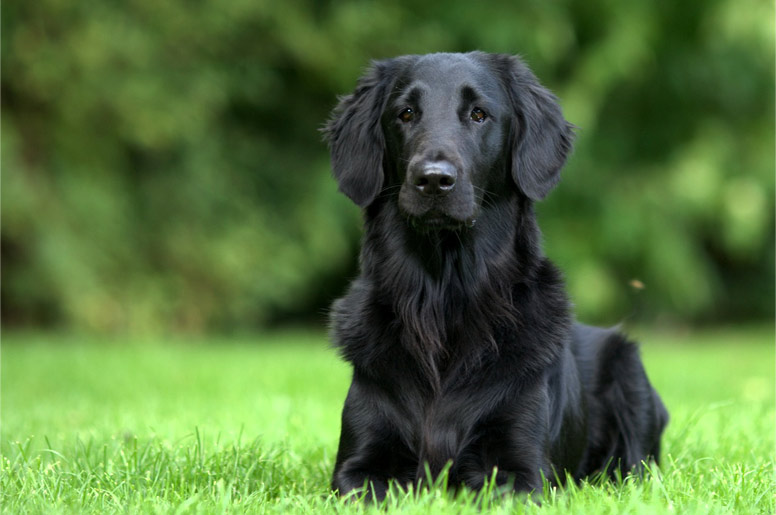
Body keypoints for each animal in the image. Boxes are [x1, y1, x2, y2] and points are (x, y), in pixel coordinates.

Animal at [322, 51, 668, 500]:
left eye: (479, 114)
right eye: (406, 113)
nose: (433, 179)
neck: (443, 299)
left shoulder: (523, 471)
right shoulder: (357, 467)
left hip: (630, 378)